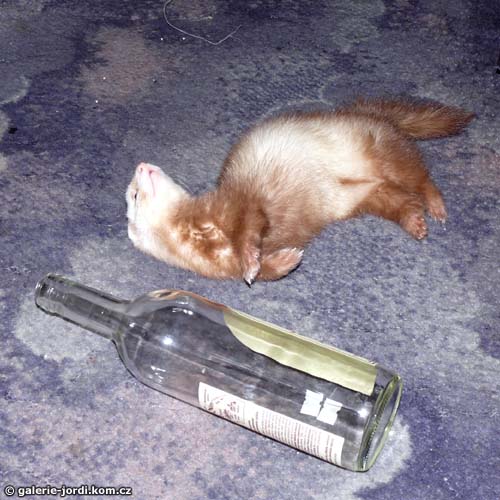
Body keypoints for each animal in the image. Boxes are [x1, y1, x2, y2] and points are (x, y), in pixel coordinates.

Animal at [126, 98, 473, 284]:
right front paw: (283, 260)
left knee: (420, 177)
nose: (141, 164)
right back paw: (416, 223)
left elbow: (250, 228)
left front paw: (252, 258)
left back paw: (436, 207)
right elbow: (265, 270)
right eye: (133, 194)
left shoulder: (243, 204)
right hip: (369, 196)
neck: (212, 238)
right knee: (404, 201)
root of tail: (371, 115)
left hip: (386, 154)